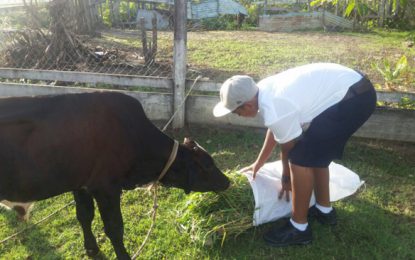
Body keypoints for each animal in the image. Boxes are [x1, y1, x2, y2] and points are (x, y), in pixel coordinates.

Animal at [0, 92, 231, 258]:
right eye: (208, 165)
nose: (227, 182)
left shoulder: (81, 184)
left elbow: (84, 216)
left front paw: (91, 249)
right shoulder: (106, 188)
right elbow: (114, 228)